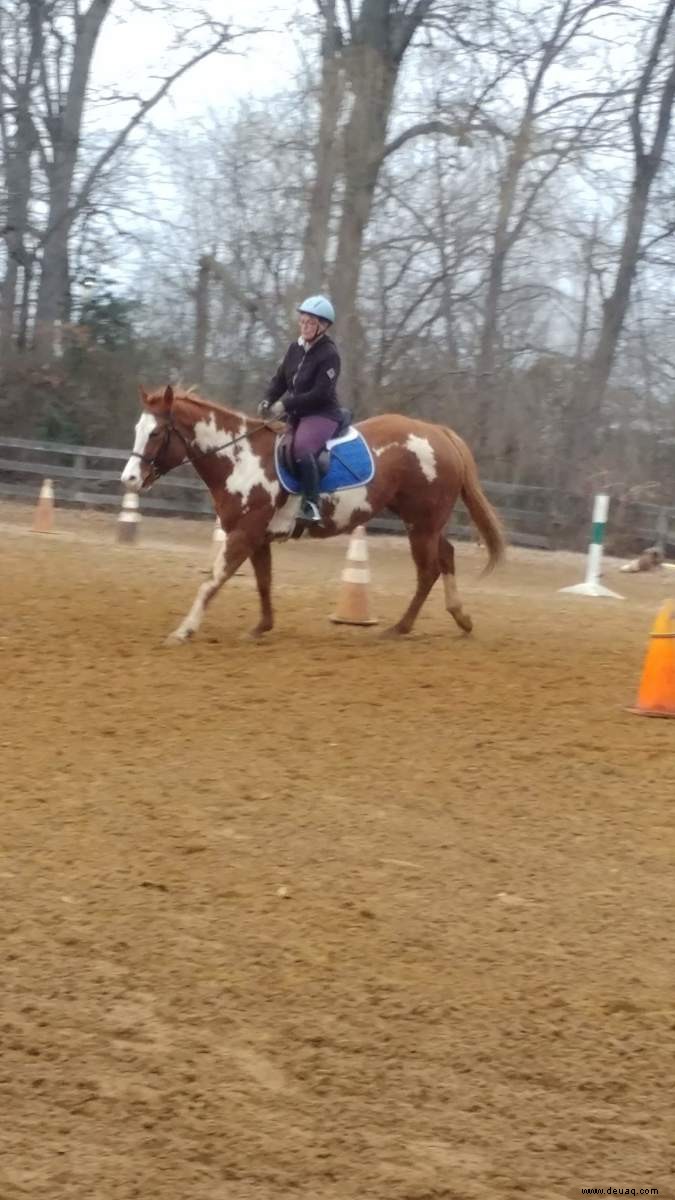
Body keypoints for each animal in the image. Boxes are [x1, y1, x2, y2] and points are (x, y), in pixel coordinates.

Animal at [118, 388, 502, 643]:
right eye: (136, 429)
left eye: (155, 432)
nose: (129, 479)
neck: (240, 458)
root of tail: (439, 433)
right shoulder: (257, 538)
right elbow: (263, 581)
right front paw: (261, 627)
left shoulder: (243, 535)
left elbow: (212, 581)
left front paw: (184, 629)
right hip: (425, 522)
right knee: (446, 557)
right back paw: (461, 618)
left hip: (420, 524)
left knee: (428, 571)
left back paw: (401, 627)